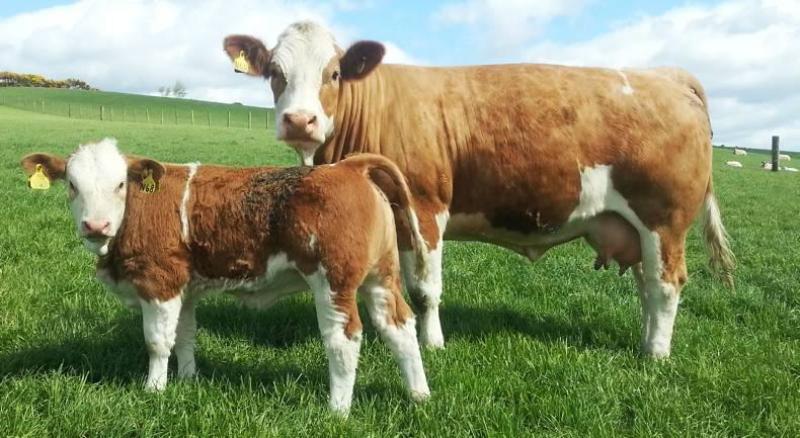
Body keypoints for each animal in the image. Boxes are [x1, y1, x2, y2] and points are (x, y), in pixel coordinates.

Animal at [20, 138, 431, 414]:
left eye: (120, 184)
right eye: (72, 184)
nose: (95, 225)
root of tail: (348, 166)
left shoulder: (160, 282)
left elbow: (157, 342)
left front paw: (154, 389)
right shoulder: (185, 289)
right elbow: (185, 336)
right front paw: (187, 379)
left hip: (335, 283)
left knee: (344, 339)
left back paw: (338, 409)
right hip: (381, 278)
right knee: (400, 328)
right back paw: (419, 394)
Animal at [223, 21, 735, 359]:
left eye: (333, 73)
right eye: (275, 73)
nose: (299, 121)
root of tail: (666, 76)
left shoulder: (426, 208)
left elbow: (426, 289)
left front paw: (433, 343)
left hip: (664, 220)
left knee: (666, 285)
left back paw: (656, 353)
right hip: (636, 227)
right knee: (647, 286)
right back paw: (647, 340)